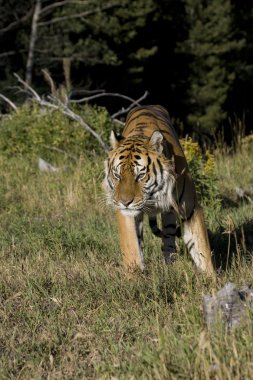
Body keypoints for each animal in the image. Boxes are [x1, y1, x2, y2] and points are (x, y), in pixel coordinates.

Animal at [104, 104, 214, 276]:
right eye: (117, 175)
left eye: (140, 175)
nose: (124, 202)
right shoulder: (126, 215)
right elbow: (131, 249)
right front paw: (134, 276)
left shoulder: (190, 209)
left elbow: (201, 247)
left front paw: (211, 279)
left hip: (169, 215)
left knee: (168, 240)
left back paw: (170, 265)